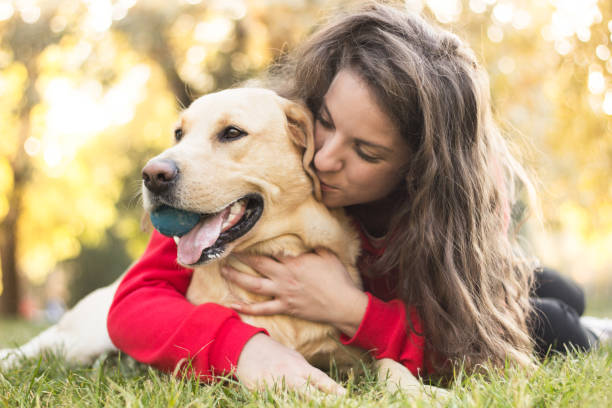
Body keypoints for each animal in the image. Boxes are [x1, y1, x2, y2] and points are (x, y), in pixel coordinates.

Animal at [2, 88, 448, 398]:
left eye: (232, 133)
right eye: (179, 133)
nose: (152, 174)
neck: (276, 252)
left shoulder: (352, 350)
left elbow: (389, 360)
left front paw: (420, 391)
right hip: (85, 335)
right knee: (43, 345)